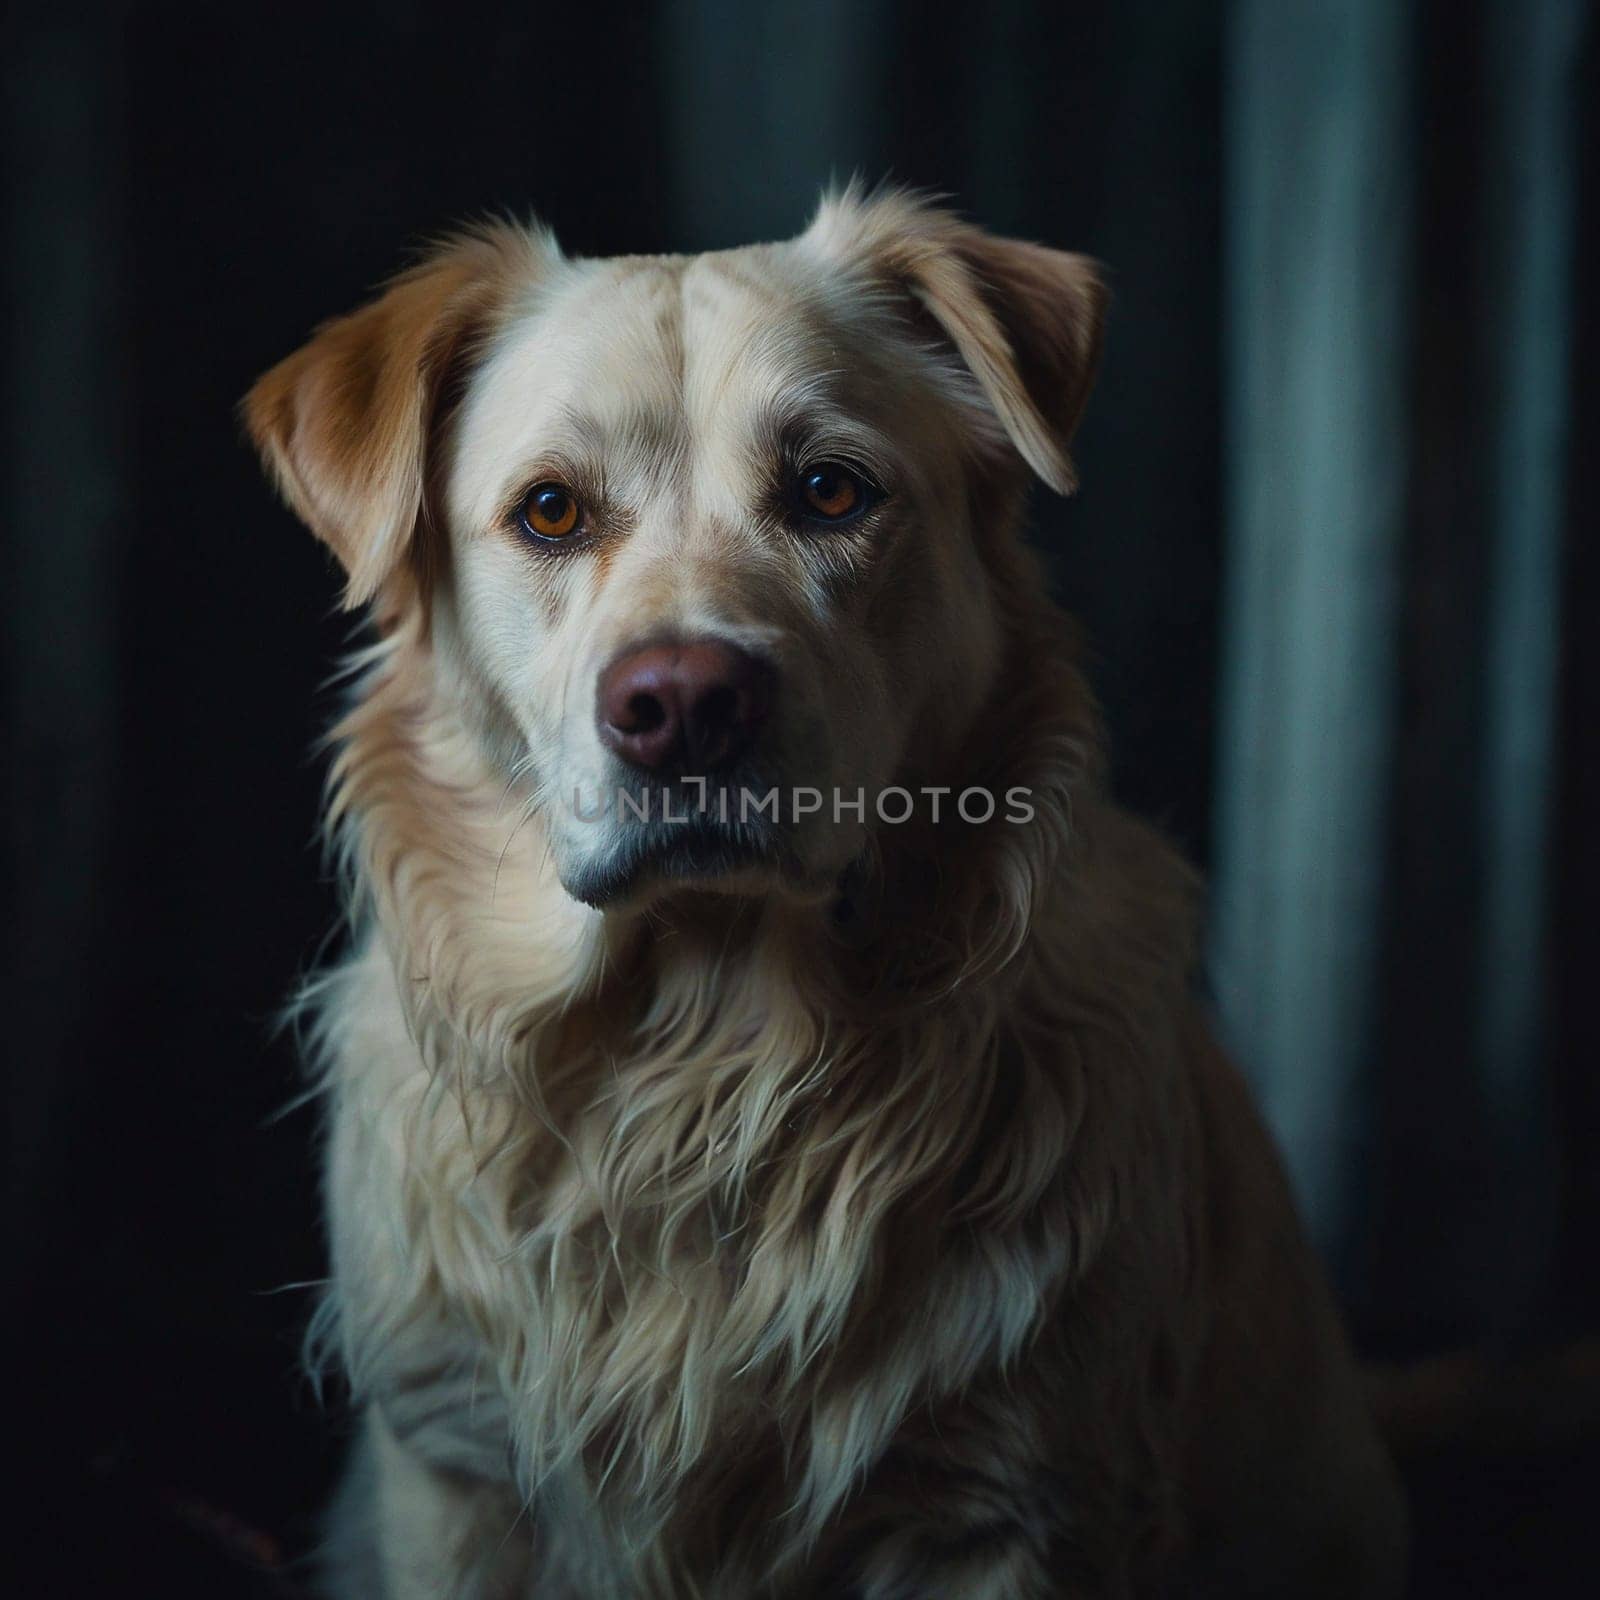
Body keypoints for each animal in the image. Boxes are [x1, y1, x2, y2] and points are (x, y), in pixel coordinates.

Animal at [243, 190, 1408, 1600]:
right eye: (550, 513)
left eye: (830, 490)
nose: (682, 706)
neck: (704, 1063)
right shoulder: (453, 1469)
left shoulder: (1010, 1502)